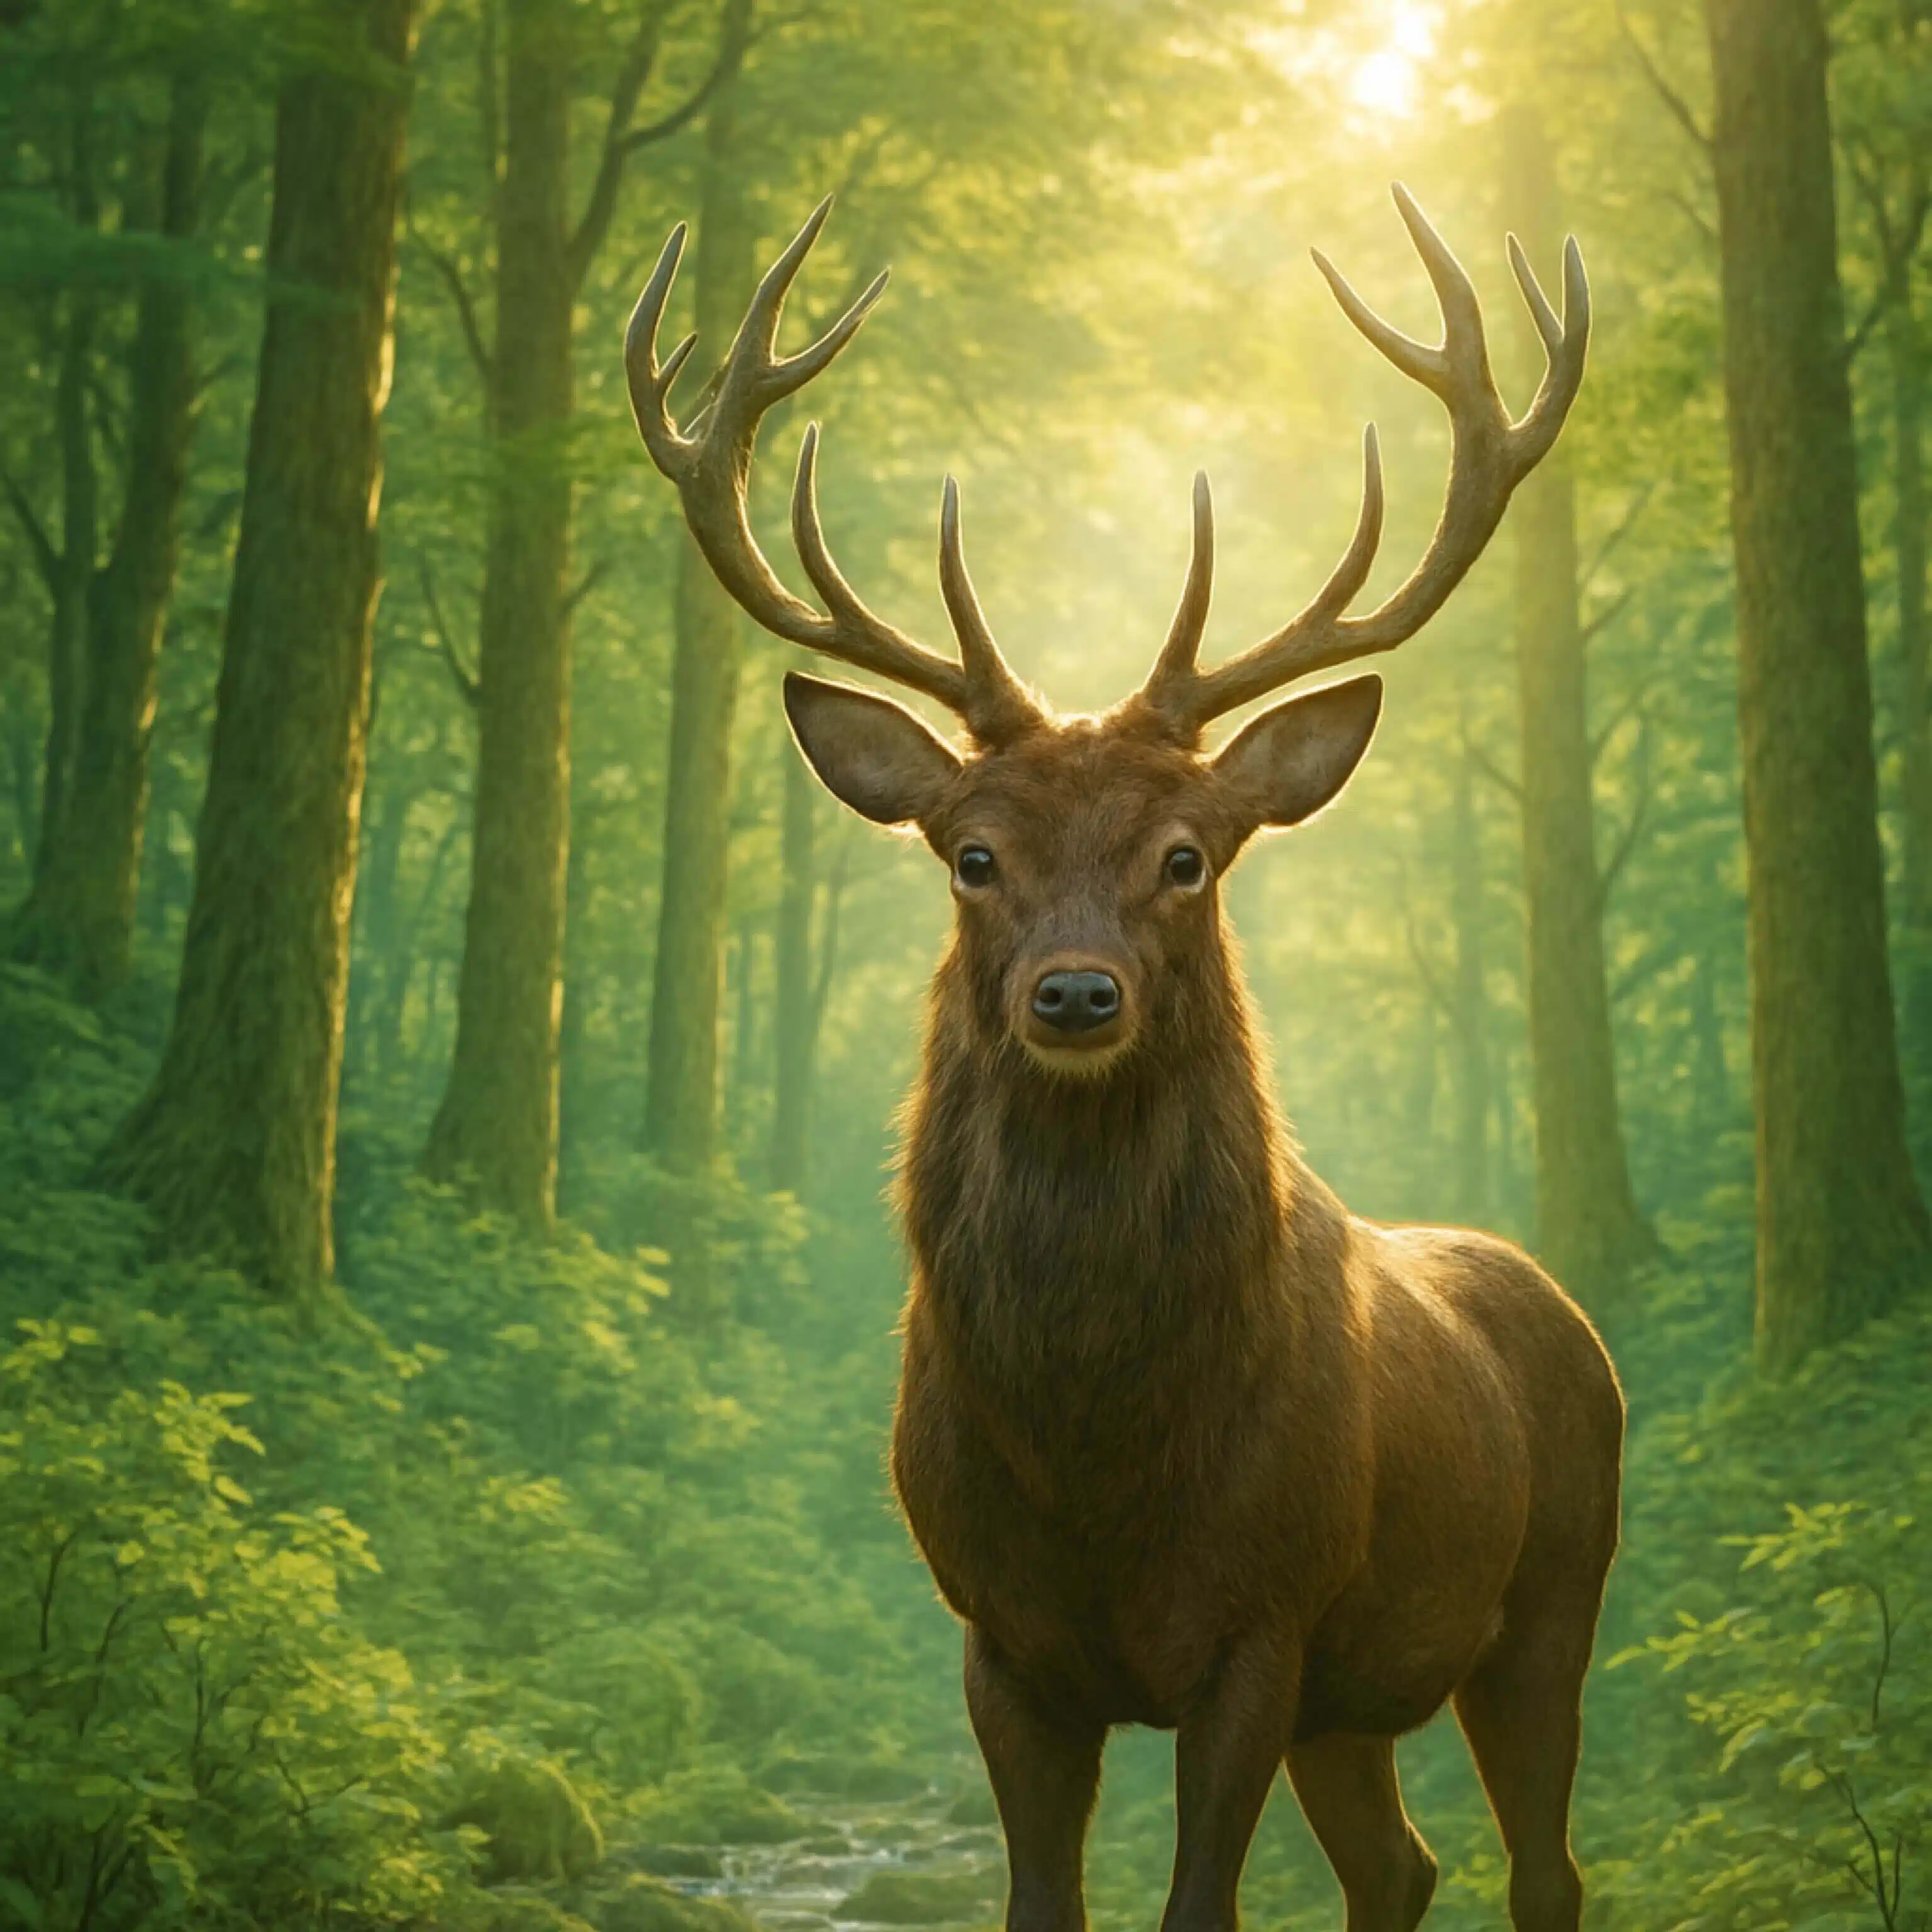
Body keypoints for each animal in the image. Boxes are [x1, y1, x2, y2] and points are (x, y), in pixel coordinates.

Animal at [625, 188, 1624, 1932]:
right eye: (969, 854)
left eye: (1185, 855)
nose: (1075, 996)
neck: (1095, 1450)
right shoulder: (998, 1639)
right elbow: (1042, 1901)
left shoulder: (1259, 1620)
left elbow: (1198, 1904)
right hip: (1358, 1697)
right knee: (1402, 1864)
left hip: (1549, 1600)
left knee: (1543, 1868)